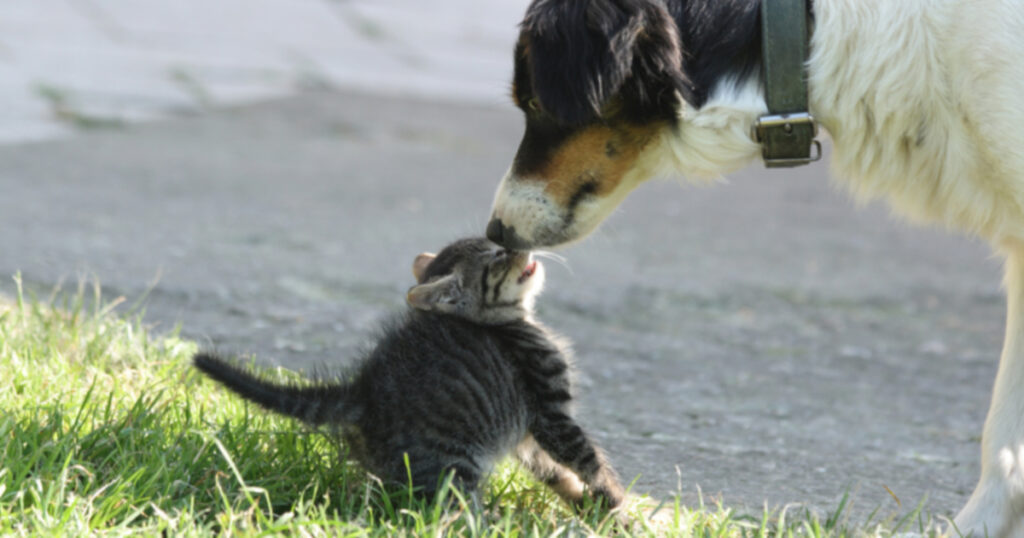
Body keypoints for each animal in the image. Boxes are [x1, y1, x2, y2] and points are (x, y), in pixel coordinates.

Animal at [192, 237, 622, 508]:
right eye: (497, 256)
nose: (517, 242)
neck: (509, 323)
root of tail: (363, 391)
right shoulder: (550, 413)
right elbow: (588, 459)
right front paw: (617, 501)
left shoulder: (528, 437)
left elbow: (556, 472)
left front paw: (589, 504)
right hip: (455, 470)